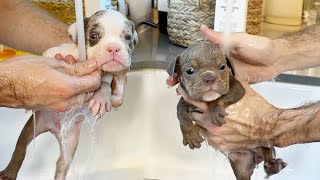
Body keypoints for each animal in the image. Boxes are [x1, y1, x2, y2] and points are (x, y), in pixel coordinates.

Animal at [1, 9, 139, 180]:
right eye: (94, 36)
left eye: (127, 38)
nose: (114, 48)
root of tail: (54, 128)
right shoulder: (55, 53)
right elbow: (52, 57)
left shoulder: (110, 75)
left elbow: (105, 85)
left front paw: (101, 97)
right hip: (30, 128)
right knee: (20, 149)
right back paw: (10, 171)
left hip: (70, 143)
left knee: (61, 163)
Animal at [168, 42, 288, 180]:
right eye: (189, 71)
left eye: (222, 67)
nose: (209, 77)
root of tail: (256, 157)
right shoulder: (185, 99)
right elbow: (181, 113)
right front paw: (190, 135)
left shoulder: (237, 88)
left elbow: (220, 97)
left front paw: (215, 110)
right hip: (240, 165)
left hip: (264, 144)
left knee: (268, 155)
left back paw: (274, 165)